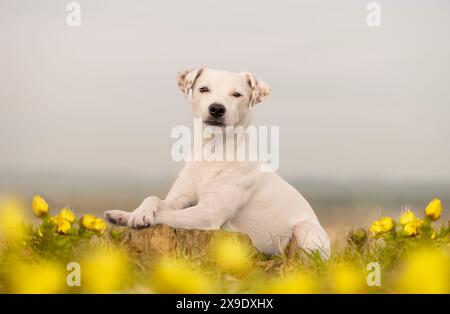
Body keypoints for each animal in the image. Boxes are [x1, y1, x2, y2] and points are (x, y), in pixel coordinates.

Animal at [105, 67, 330, 258]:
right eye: (203, 89)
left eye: (237, 94)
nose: (216, 109)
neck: (212, 151)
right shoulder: (181, 197)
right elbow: (154, 199)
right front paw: (131, 214)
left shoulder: (208, 212)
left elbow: (166, 214)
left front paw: (138, 218)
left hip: (305, 231)